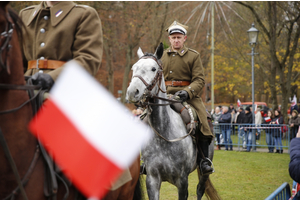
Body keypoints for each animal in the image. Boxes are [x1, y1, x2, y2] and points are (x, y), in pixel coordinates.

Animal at [125, 43, 219, 200]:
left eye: (153, 69)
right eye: (134, 68)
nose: (133, 92)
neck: (163, 135)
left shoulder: (182, 181)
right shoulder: (152, 180)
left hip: (204, 171)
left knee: (200, 189)